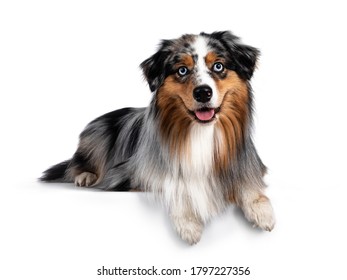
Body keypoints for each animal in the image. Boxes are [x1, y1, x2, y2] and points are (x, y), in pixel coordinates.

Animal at [40, 31, 276, 245]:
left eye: (218, 66)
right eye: (182, 70)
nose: (203, 93)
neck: (200, 131)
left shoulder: (245, 163)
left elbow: (248, 185)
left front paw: (263, 211)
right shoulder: (130, 174)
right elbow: (175, 184)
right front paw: (188, 223)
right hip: (97, 135)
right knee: (77, 164)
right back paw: (85, 176)